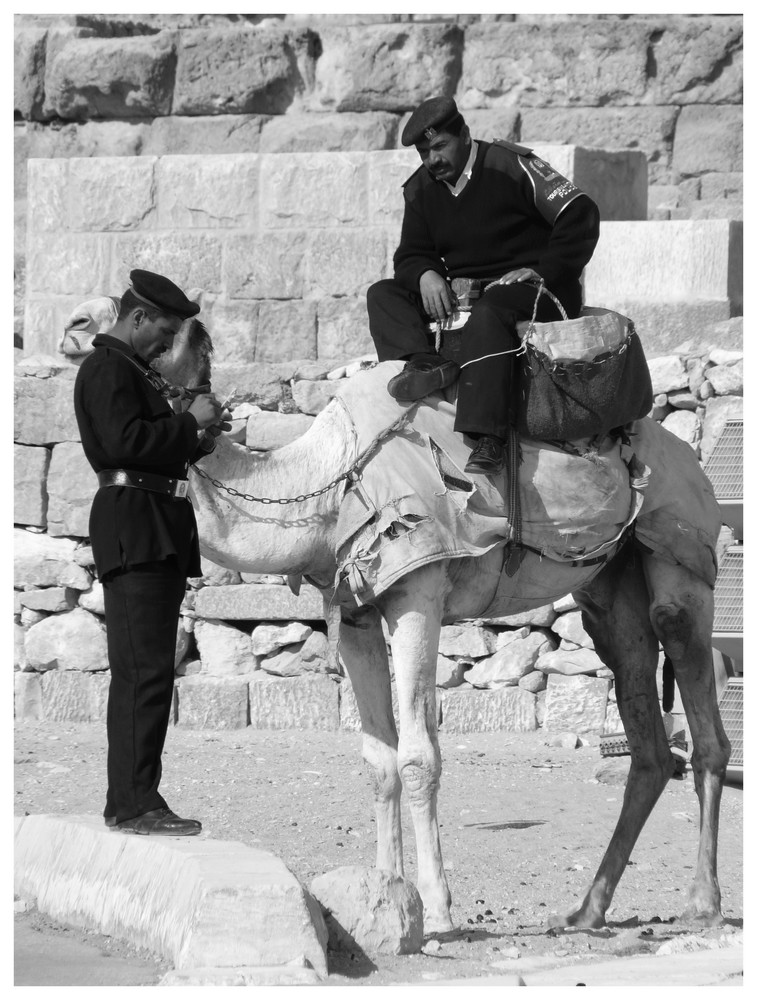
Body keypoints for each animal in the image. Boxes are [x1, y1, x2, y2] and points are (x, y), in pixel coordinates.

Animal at [63, 300, 728, 932]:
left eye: (128, 315)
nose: (73, 327)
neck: (328, 478)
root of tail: (688, 454)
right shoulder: (352, 610)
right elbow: (378, 763)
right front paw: (386, 896)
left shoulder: (417, 593)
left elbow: (416, 757)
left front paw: (437, 911)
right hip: (609, 588)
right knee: (645, 731)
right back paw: (587, 911)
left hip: (679, 546)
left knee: (695, 691)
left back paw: (703, 902)